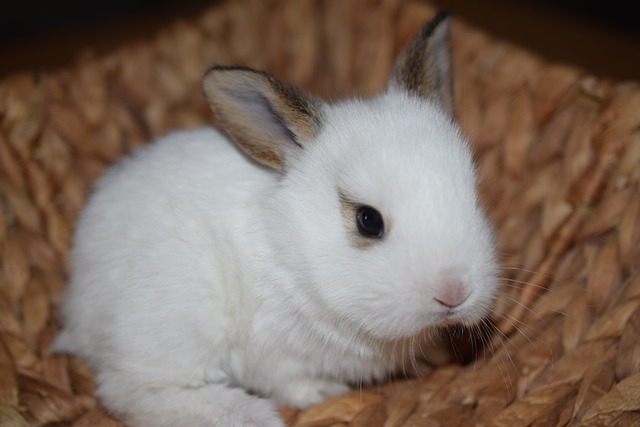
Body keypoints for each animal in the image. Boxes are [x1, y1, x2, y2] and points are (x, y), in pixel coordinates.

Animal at [52, 12, 498, 427]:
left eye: (473, 196)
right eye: (368, 220)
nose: (454, 293)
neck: (291, 245)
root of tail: (76, 307)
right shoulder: (273, 355)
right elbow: (289, 383)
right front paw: (323, 392)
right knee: (129, 391)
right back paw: (247, 414)